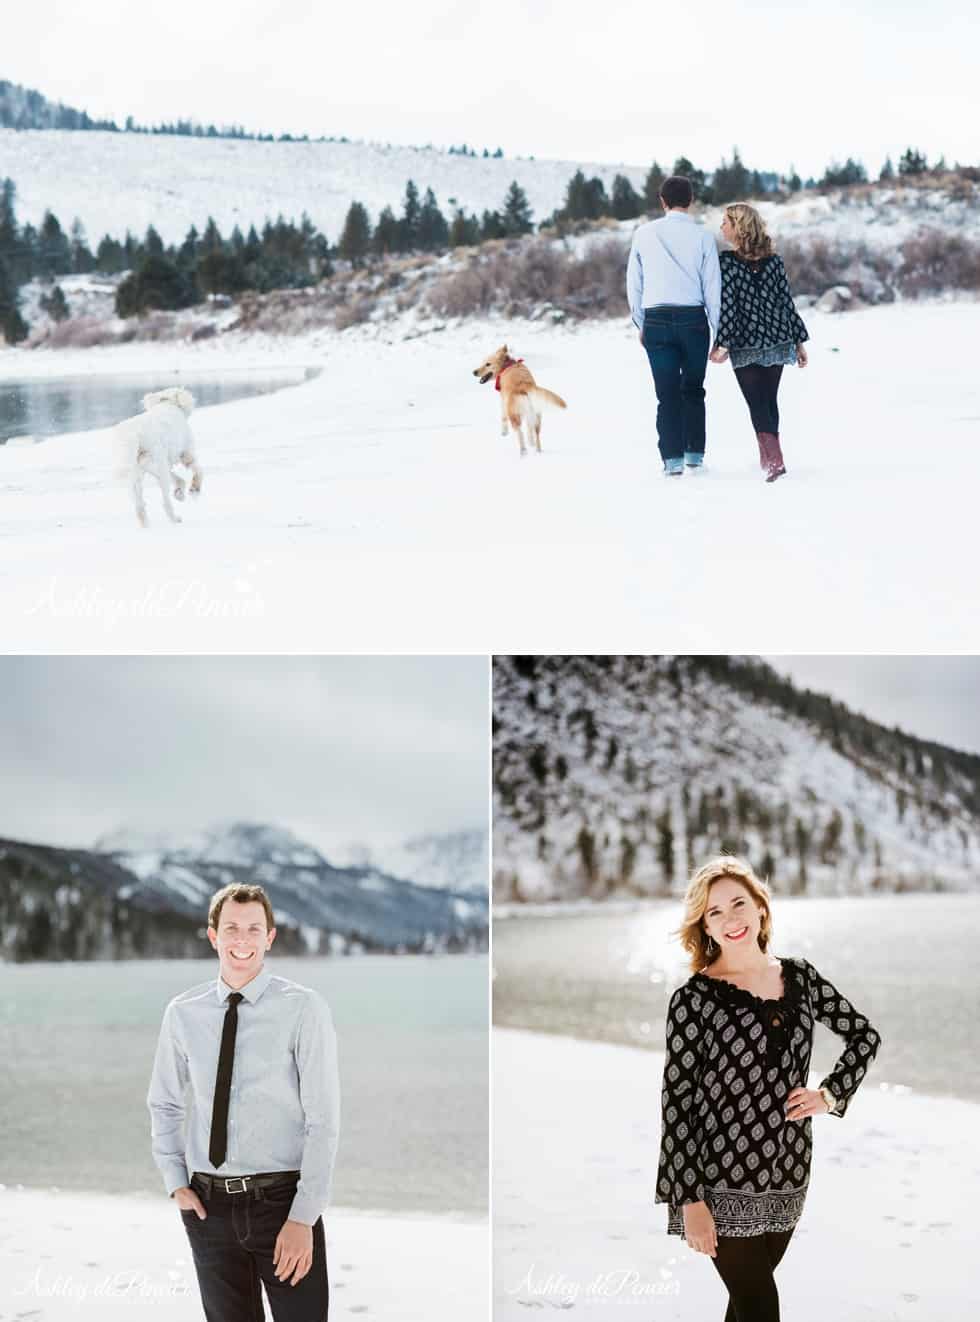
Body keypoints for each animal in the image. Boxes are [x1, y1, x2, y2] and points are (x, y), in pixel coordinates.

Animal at [115, 386, 202, 523]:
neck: (167, 403)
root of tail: (135, 434)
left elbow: (176, 477)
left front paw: (179, 490)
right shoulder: (186, 452)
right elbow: (198, 470)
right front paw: (194, 489)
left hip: (137, 472)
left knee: (139, 506)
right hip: (156, 459)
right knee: (166, 501)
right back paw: (174, 518)